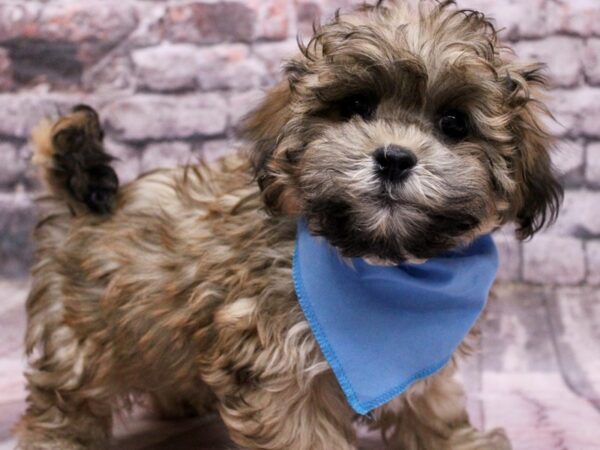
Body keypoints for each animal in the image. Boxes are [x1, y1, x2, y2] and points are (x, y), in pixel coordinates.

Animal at [16, 0, 560, 450]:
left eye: (453, 124)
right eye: (356, 107)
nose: (393, 158)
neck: (377, 260)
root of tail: (81, 203)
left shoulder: (418, 355)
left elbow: (431, 402)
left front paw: (457, 440)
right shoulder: (278, 365)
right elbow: (304, 432)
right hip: (85, 335)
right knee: (67, 396)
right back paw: (57, 438)